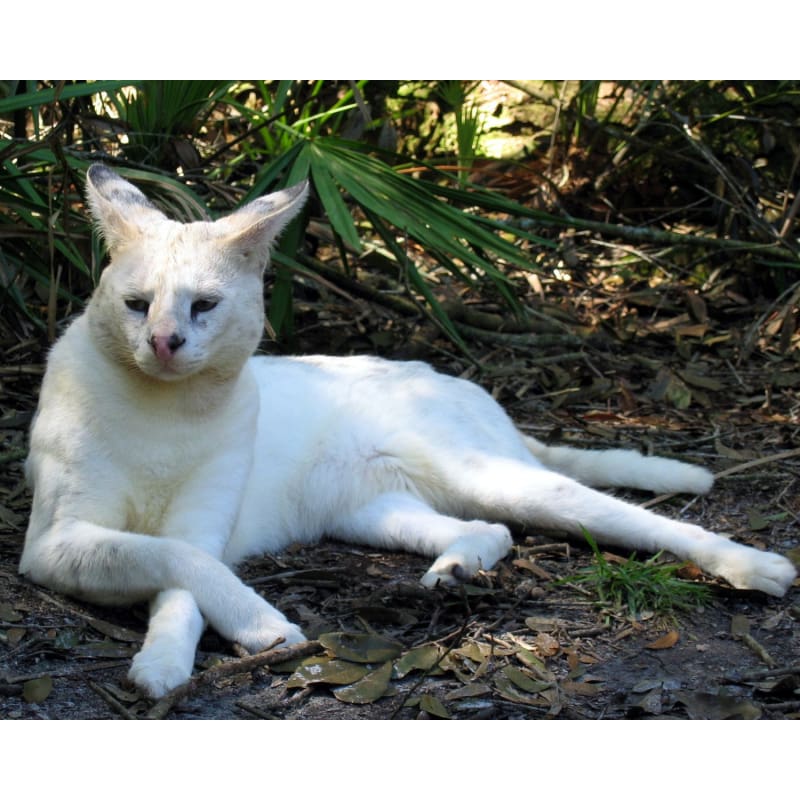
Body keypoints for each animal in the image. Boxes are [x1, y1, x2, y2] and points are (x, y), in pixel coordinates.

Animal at [18, 166, 792, 696]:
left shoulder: (193, 526)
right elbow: (178, 570)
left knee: (632, 520)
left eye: (203, 307)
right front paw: (188, 656)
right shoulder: (55, 542)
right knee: (490, 530)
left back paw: (757, 567)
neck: (166, 410)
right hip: (373, 513)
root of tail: (469, 389)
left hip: (486, 476)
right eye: (136, 305)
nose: (165, 342)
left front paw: (226, 640)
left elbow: (185, 576)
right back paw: (456, 570)